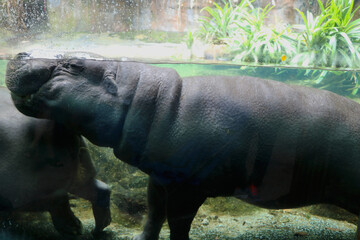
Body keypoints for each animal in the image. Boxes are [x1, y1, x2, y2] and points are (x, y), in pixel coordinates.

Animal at [0, 86, 111, 236]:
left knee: (59, 203)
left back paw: (75, 228)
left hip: (31, 189)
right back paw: (95, 229)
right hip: (81, 176)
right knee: (100, 189)